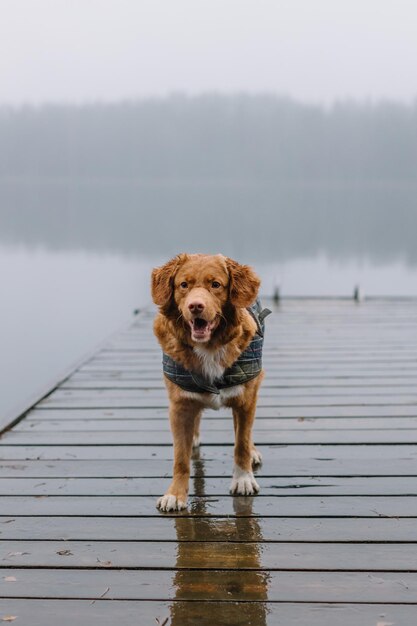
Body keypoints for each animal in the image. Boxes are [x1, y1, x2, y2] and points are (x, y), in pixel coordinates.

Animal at [150, 251, 270, 510]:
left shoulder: (246, 398)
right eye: (183, 285)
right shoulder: (179, 403)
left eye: (216, 285)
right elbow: (180, 458)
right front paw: (175, 494)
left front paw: (243, 479)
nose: (196, 306)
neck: (209, 347)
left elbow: (241, 442)